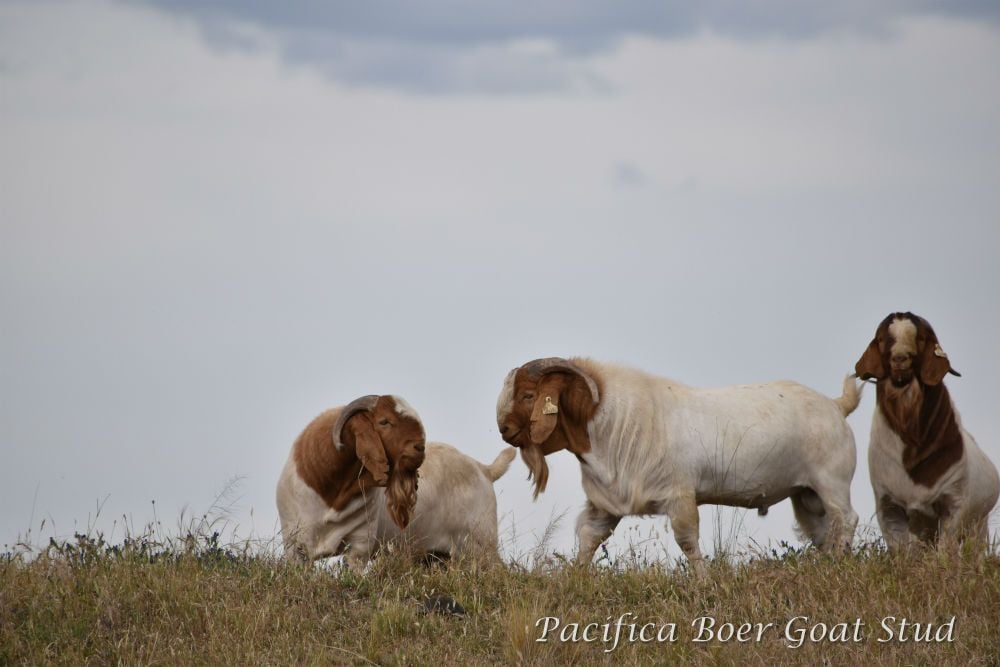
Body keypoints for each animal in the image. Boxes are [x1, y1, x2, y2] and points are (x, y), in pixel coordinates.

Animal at [496, 357, 861, 573]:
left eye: (528, 395)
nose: (503, 430)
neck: (615, 422)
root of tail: (836, 405)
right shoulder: (606, 505)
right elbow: (589, 539)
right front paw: (574, 578)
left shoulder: (678, 494)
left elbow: (688, 541)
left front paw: (703, 581)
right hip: (806, 494)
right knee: (822, 529)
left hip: (832, 481)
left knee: (847, 518)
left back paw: (839, 564)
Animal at [855, 312, 998, 548]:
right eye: (882, 339)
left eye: (921, 338)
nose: (900, 359)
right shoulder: (888, 507)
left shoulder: (953, 503)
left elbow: (945, 549)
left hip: (977, 527)